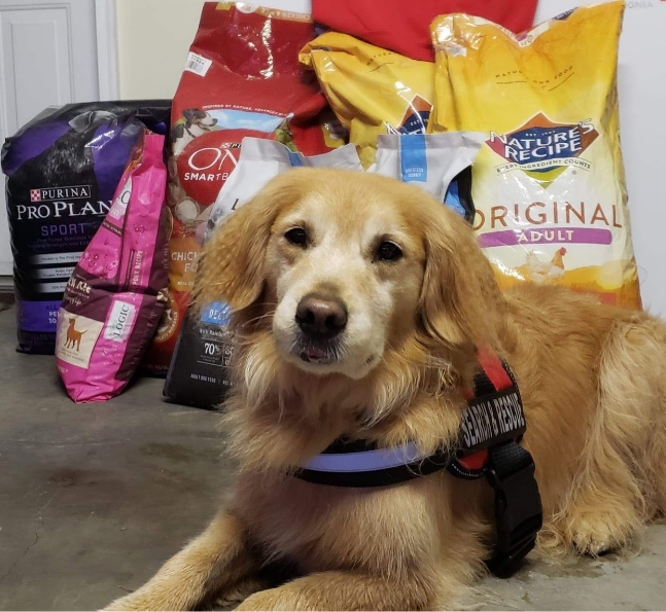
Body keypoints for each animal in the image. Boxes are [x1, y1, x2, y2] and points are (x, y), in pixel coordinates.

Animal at [106, 169, 660, 612]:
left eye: (388, 251)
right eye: (296, 236)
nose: (319, 316)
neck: (331, 420)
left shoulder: (409, 576)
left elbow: (270, 600)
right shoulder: (253, 511)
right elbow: (187, 562)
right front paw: (134, 603)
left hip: (633, 356)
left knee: (628, 474)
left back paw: (598, 517)